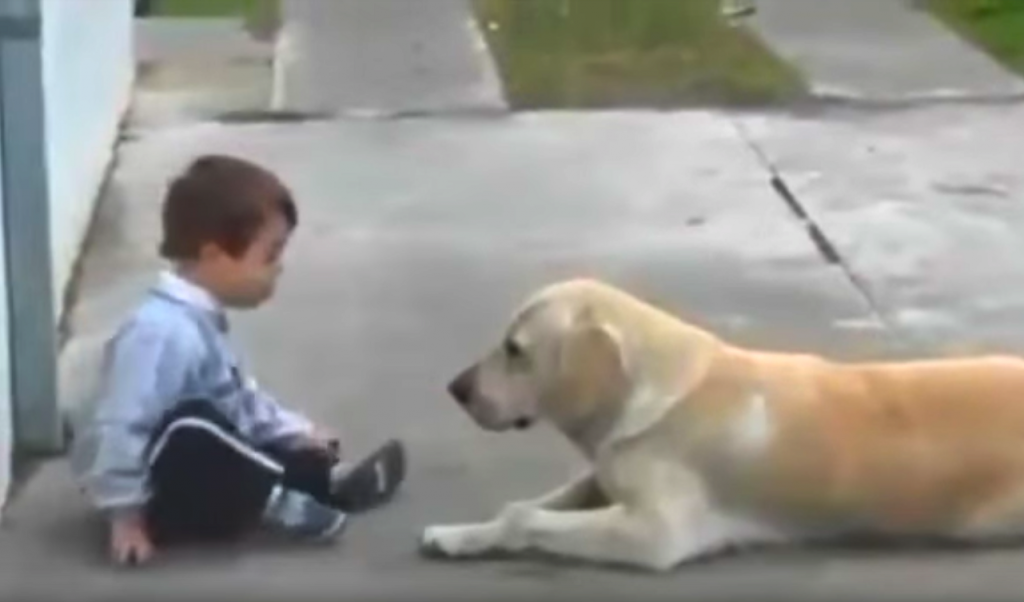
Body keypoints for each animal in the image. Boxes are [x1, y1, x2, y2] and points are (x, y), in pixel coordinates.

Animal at [421, 278, 1024, 569]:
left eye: (515, 350)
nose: (455, 389)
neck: (647, 386)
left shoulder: (657, 533)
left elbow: (524, 518)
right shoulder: (605, 477)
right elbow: (532, 504)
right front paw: (458, 534)